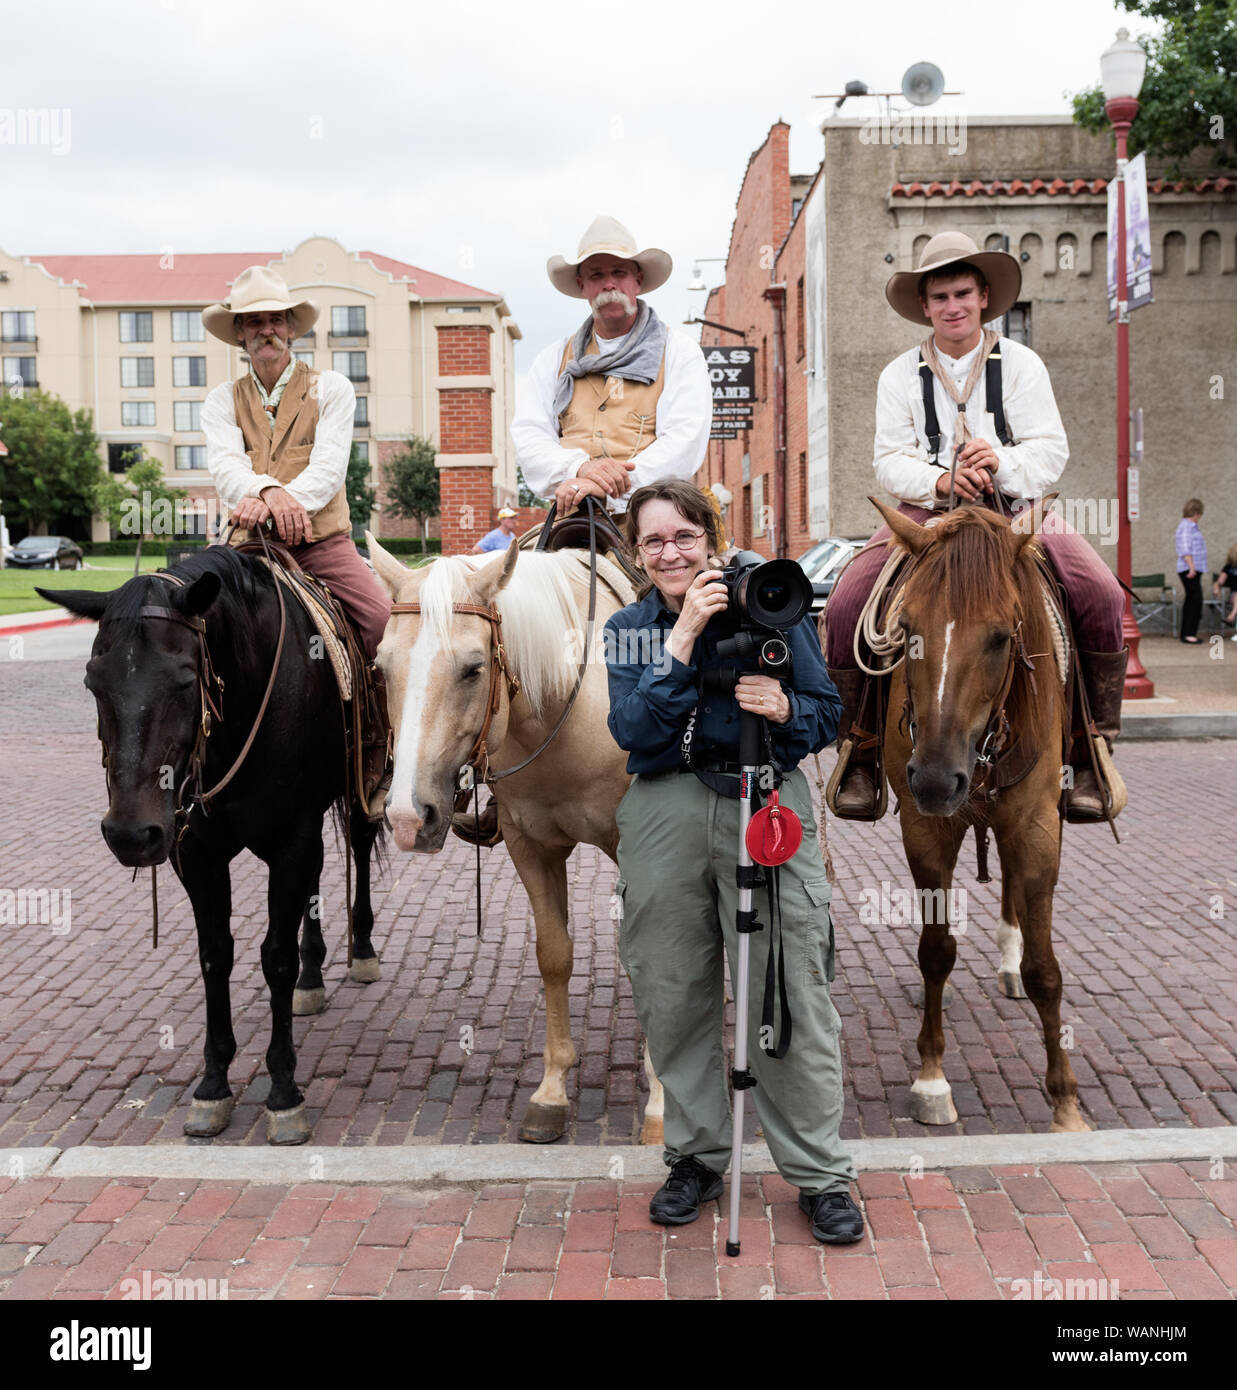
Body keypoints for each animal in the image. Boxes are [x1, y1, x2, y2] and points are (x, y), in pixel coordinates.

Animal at [42, 547, 380, 1145]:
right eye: (92, 683)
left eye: (184, 680)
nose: (130, 833)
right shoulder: (196, 853)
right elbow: (214, 954)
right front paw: (214, 1083)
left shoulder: (291, 841)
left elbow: (275, 957)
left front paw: (284, 1091)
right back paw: (314, 976)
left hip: (357, 785)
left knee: (360, 850)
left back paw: (359, 949)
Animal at [361, 536, 661, 1145]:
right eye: (381, 668)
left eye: (473, 669)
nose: (406, 816)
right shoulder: (531, 847)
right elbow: (554, 955)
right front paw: (552, 1090)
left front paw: (663, 1100)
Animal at [872, 505, 1084, 1134]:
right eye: (907, 628)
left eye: (1000, 636)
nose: (935, 779)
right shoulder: (925, 831)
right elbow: (936, 951)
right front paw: (931, 1079)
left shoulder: (1037, 828)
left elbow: (1045, 969)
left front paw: (1065, 1102)